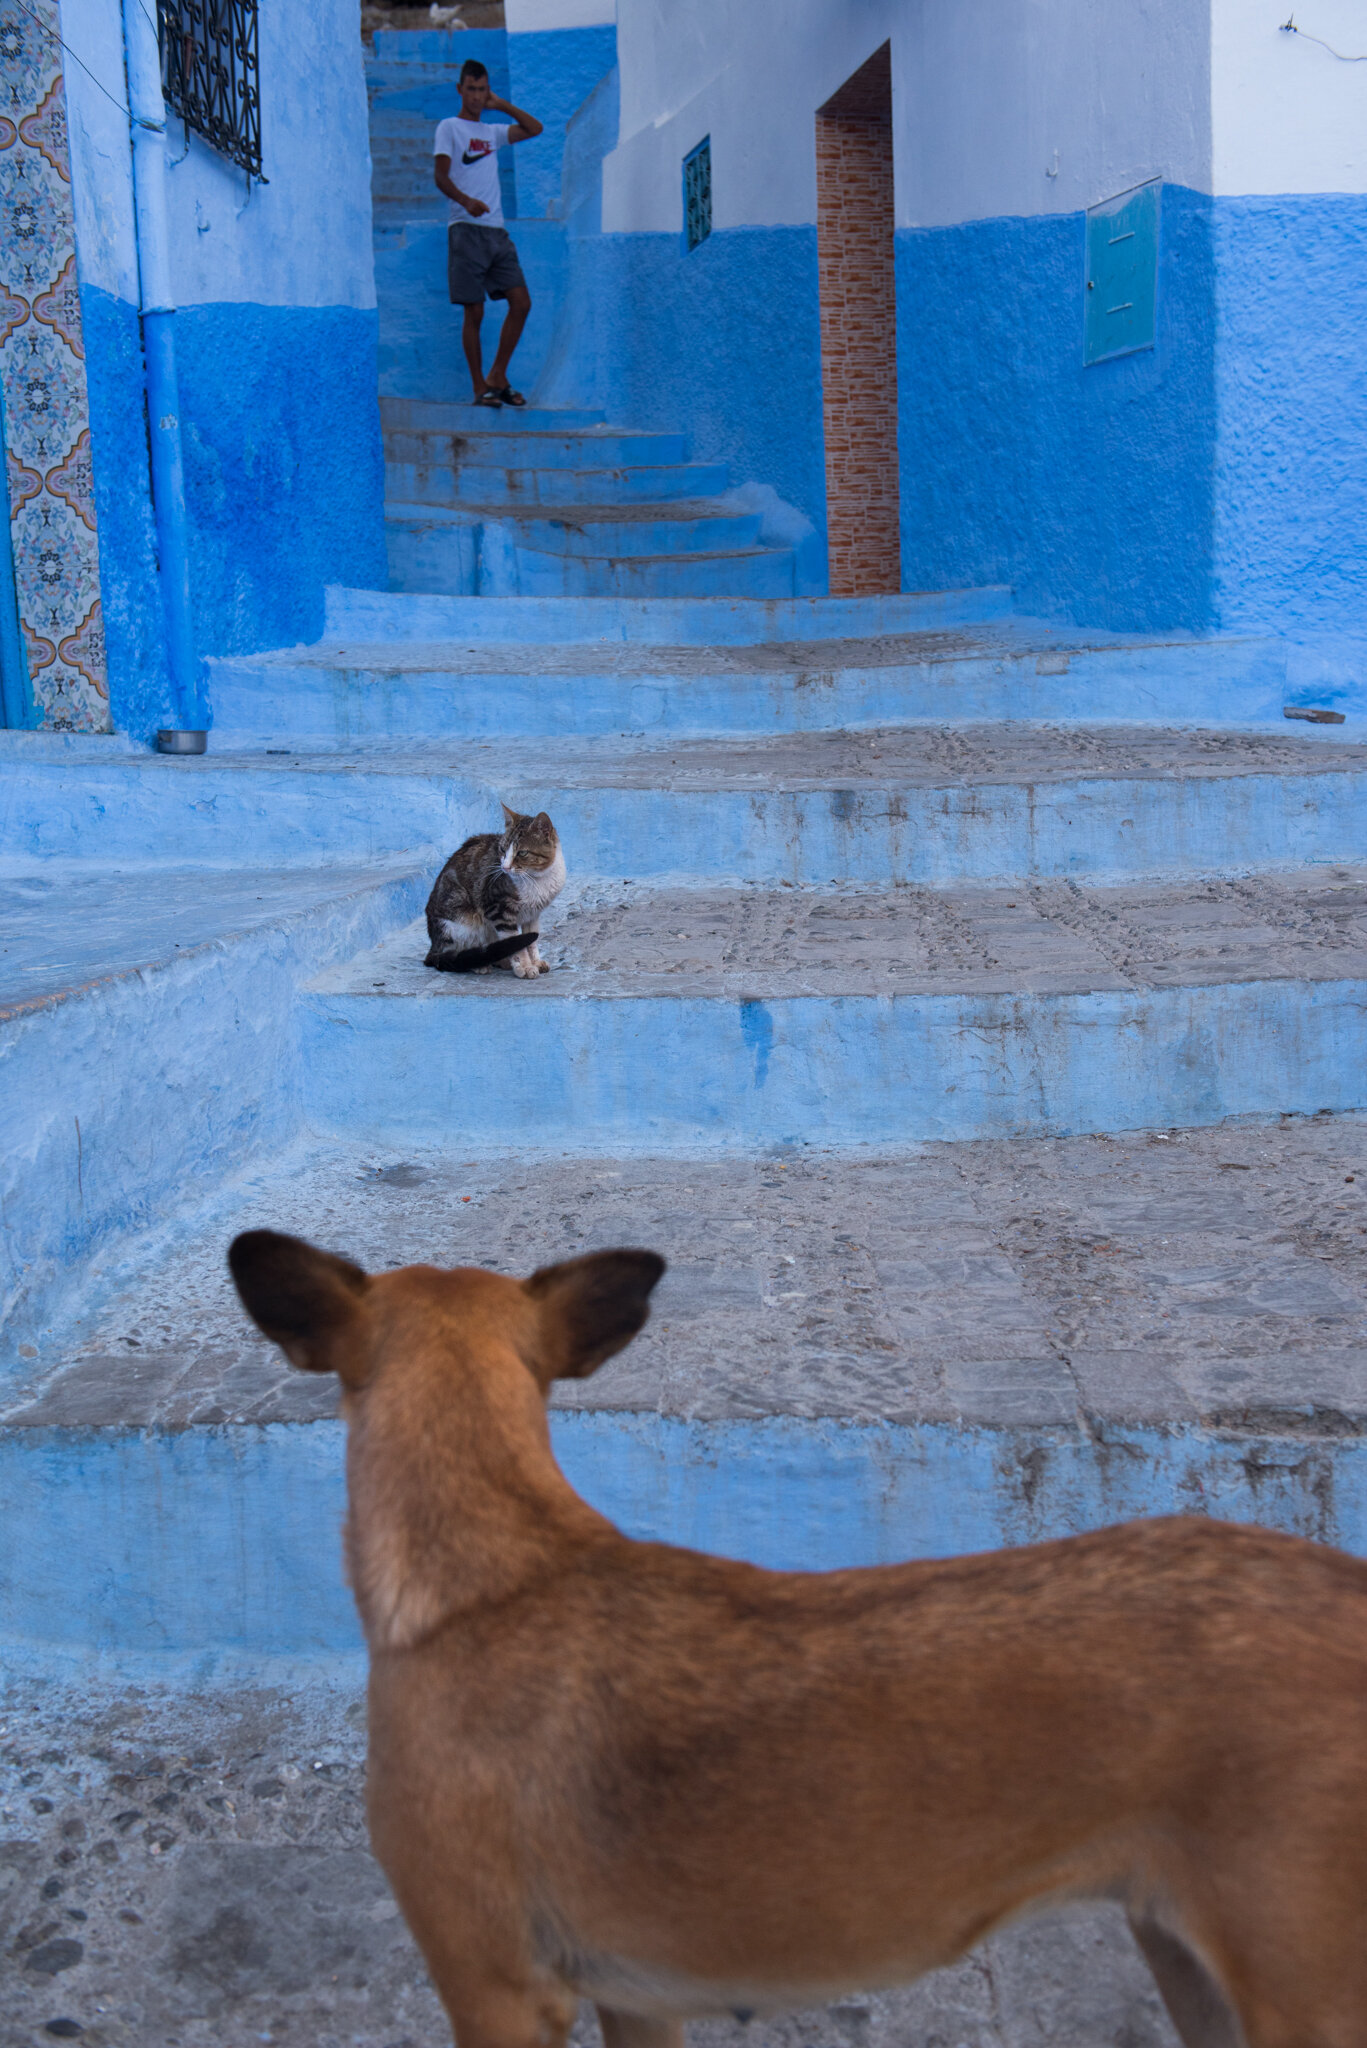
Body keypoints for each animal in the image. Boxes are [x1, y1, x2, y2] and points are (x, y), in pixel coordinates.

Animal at [422, 802, 561, 978]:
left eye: (522, 853)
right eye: (502, 849)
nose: (505, 867)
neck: (538, 879)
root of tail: (433, 947)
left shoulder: (533, 914)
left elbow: (532, 942)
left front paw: (535, 962)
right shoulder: (499, 909)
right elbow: (518, 943)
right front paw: (525, 967)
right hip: (463, 920)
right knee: (461, 951)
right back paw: (480, 965)